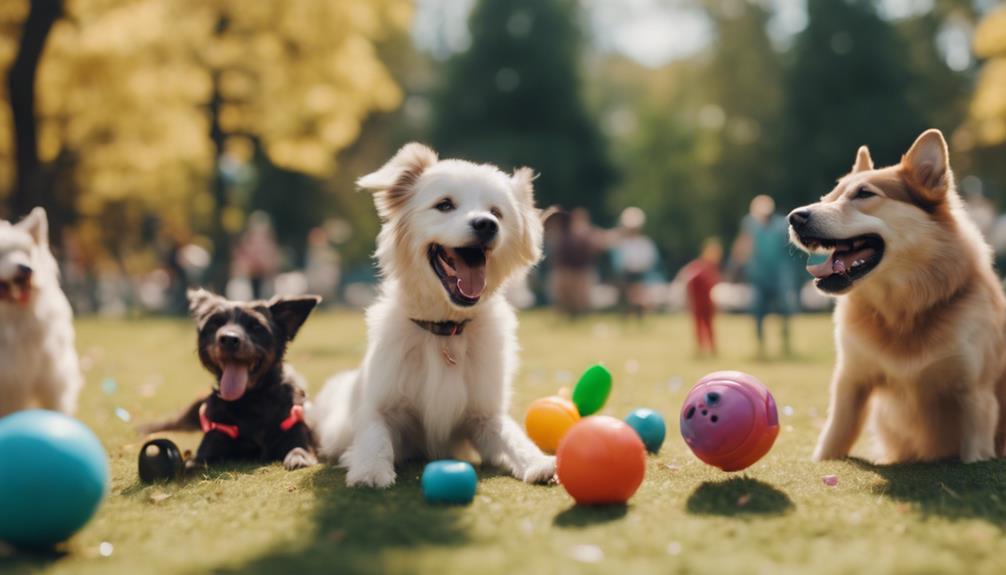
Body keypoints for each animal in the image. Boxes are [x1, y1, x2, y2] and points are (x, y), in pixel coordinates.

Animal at [141, 289, 319, 468]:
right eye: (216, 323)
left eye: (256, 326)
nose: (228, 339)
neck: (250, 400)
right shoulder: (211, 444)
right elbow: (193, 463)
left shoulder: (296, 433)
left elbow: (298, 449)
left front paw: (298, 458)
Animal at [309, 142, 555, 484]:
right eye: (444, 205)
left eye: (496, 213)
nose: (486, 224)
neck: (444, 329)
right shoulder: (382, 408)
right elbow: (375, 434)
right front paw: (370, 470)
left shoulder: (484, 416)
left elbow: (514, 437)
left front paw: (539, 461)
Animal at [788, 128, 1001, 462]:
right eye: (828, 197)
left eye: (864, 194)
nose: (794, 218)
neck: (903, 308)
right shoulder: (850, 382)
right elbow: (832, 440)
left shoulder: (976, 397)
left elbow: (973, 456)